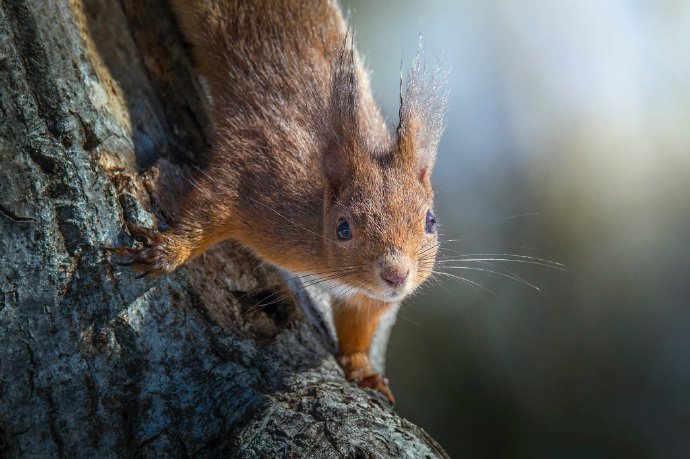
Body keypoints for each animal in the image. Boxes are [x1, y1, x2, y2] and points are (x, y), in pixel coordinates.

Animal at [110, 0, 446, 402]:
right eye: (343, 229)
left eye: (430, 221)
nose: (396, 275)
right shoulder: (255, 171)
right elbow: (209, 206)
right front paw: (168, 251)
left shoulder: (366, 298)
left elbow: (358, 325)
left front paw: (362, 368)